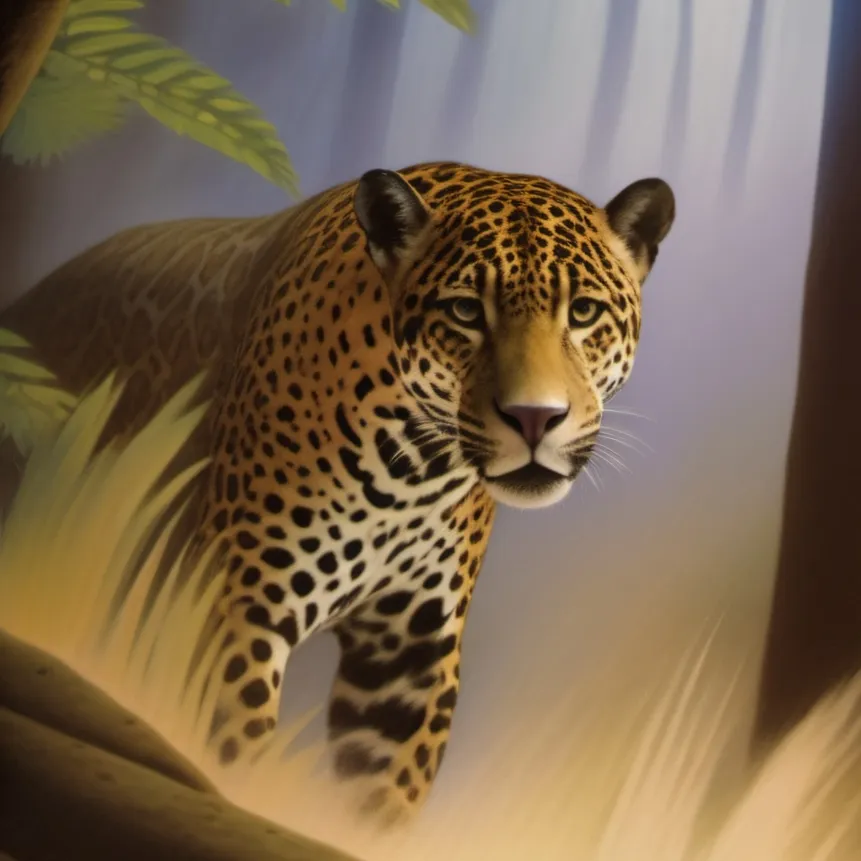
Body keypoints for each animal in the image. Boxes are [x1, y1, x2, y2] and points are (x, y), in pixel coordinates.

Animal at [0, 161, 675, 824]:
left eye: (583, 313)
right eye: (464, 311)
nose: (535, 418)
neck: (414, 473)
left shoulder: (408, 661)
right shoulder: (232, 615)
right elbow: (224, 754)